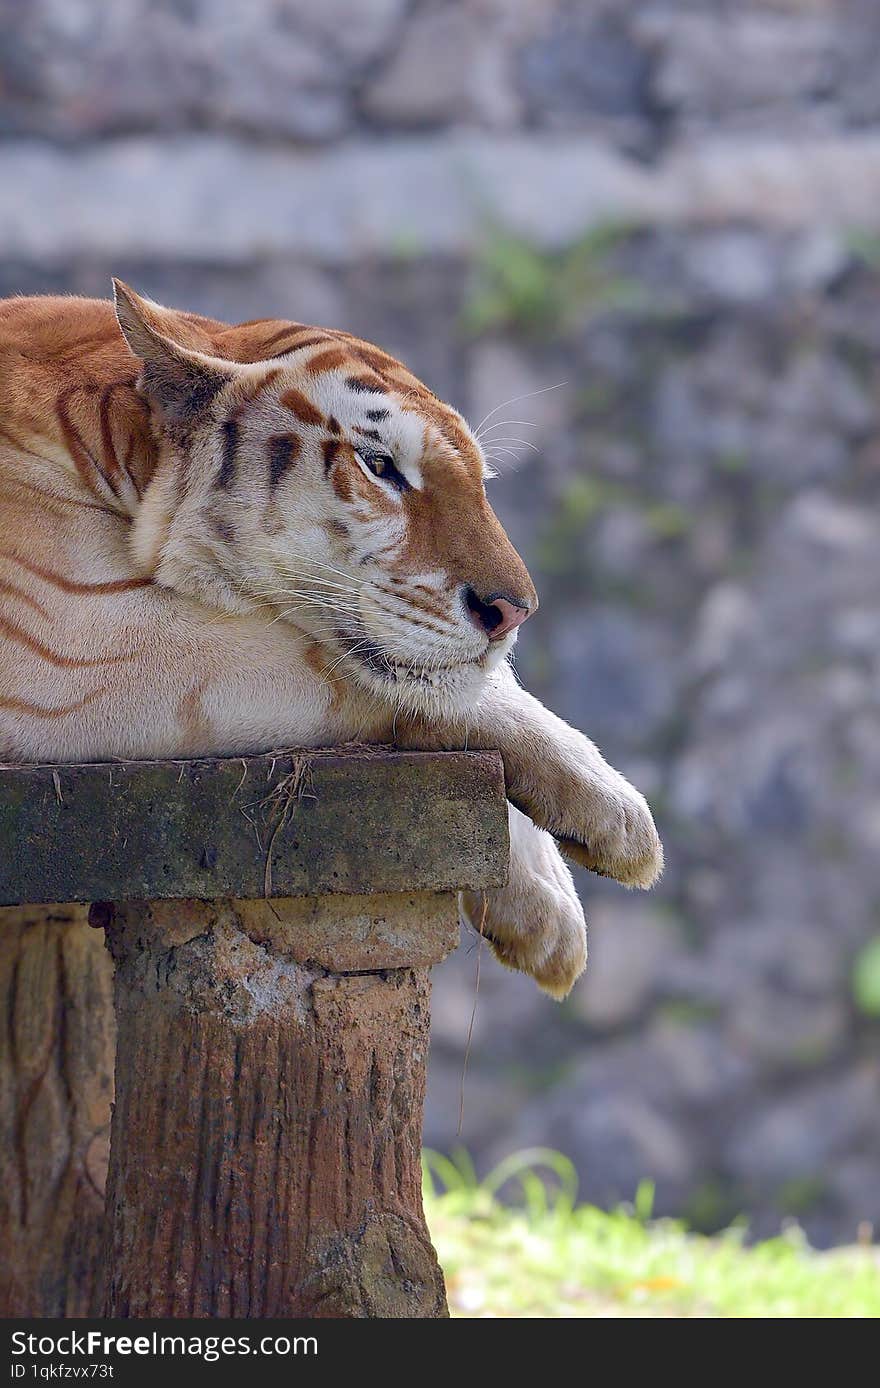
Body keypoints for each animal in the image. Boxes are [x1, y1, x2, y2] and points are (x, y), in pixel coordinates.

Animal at [0, 281, 657, 999]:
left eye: (478, 483)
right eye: (380, 466)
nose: (515, 612)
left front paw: (547, 909)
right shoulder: (71, 648)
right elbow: (348, 670)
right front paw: (619, 819)